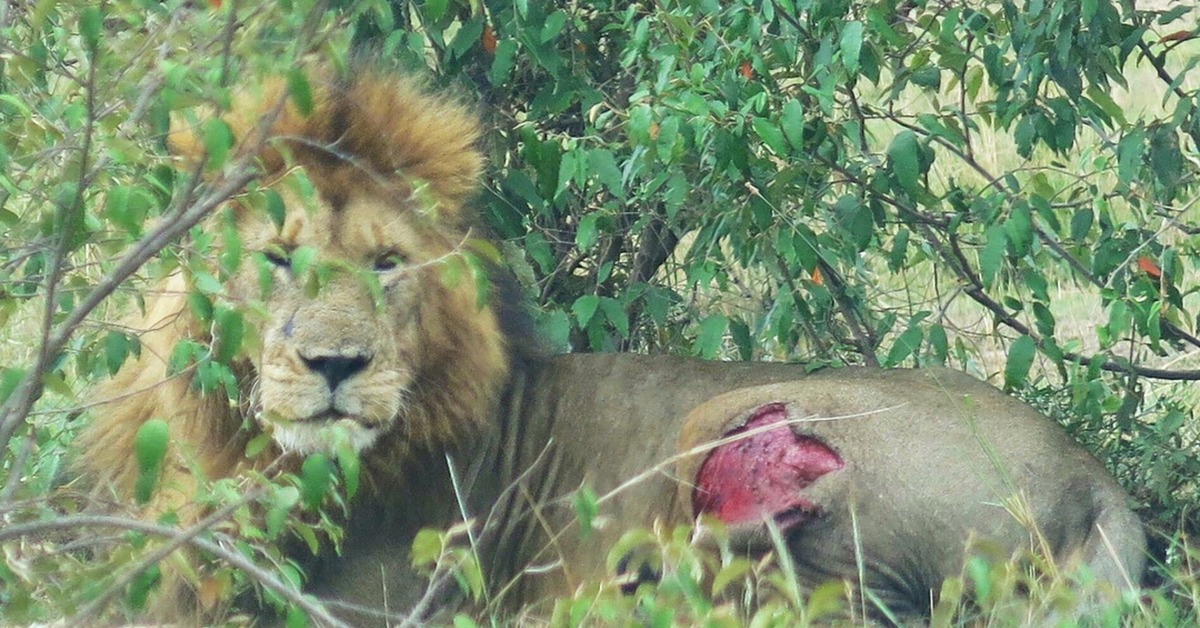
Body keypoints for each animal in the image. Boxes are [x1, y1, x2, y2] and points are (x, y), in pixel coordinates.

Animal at [79, 68, 1147, 624]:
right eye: (276, 258)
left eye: (388, 265)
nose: (336, 367)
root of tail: (1096, 481)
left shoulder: (382, 602)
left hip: (736, 433)